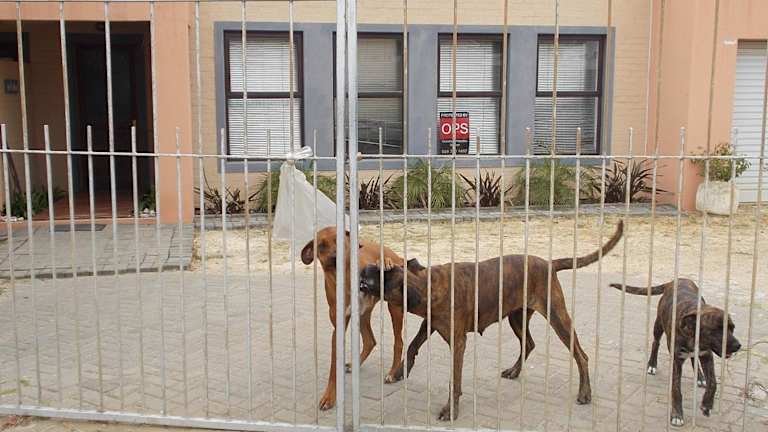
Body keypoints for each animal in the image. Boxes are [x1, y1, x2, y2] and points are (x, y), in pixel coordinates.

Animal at [301, 226, 407, 411]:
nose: (335, 257)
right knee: (370, 340)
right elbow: (333, 367)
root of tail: (398, 256)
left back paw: (393, 373)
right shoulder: (338, 328)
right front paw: (329, 396)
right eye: (321, 245)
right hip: (362, 315)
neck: (345, 280)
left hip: (394, 308)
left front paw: (383, 263)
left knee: (398, 342)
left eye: (340, 240)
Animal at [360, 221, 624, 421]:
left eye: (378, 279)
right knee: (529, 344)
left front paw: (450, 409)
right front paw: (400, 371)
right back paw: (514, 371)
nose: (364, 268)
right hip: (517, 318)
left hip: (558, 318)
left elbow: (454, 381)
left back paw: (585, 392)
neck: (429, 284)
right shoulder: (430, 324)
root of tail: (549, 263)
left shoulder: (458, 343)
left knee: (581, 355)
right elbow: (413, 345)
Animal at [608, 279, 741, 427]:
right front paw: (677, 415)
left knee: (694, 359)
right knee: (656, 343)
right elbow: (676, 389)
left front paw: (707, 405)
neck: (692, 333)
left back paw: (700, 377)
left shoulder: (707, 355)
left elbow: (713, 383)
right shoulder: (676, 361)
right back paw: (652, 364)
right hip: (658, 325)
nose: (738, 346)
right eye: (717, 330)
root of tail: (674, 280)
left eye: (732, 328)